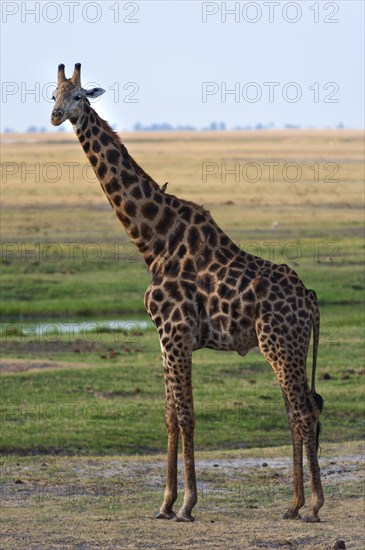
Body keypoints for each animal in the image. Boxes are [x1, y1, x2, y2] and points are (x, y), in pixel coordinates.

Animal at [49, 62, 324, 524]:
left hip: (279, 343)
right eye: (53, 94)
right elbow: (169, 417)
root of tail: (311, 301)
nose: (55, 116)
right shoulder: (164, 339)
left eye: (80, 96)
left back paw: (313, 504)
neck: (153, 242)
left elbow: (187, 415)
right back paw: (295, 503)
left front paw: (187, 504)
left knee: (303, 411)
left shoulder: (175, 333)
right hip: (294, 346)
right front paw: (164, 503)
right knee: (302, 408)